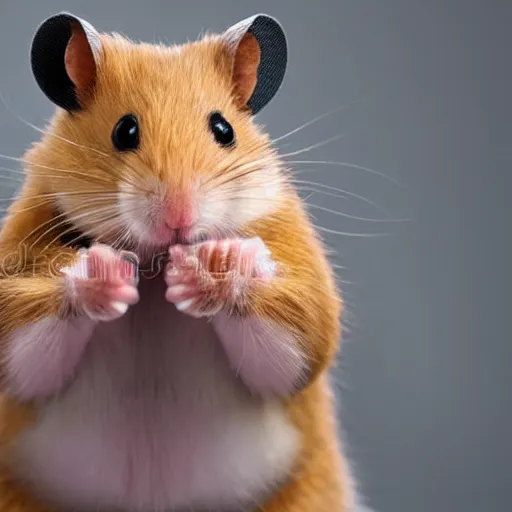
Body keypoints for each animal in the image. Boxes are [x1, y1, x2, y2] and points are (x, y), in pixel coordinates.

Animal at [0, 11, 356, 512]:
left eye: (224, 130)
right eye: (125, 131)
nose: (179, 220)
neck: (156, 264)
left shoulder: (303, 295)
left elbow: (297, 340)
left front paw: (207, 268)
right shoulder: (18, 287)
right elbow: (27, 347)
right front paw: (109, 273)